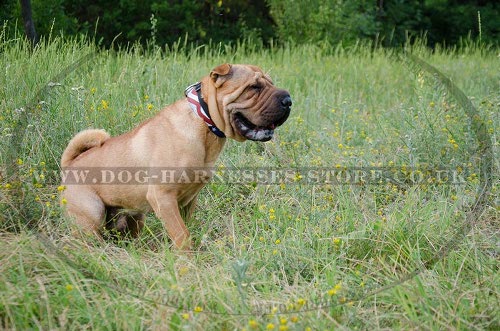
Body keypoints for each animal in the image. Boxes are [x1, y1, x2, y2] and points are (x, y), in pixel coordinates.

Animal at [60, 63, 292, 250]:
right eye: (254, 87)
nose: (288, 100)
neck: (204, 124)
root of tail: (70, 164)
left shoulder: (187, 200)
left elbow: (186, 226)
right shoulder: (163, 197)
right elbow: (182, 235)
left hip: (134, 216)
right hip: (92, 213)